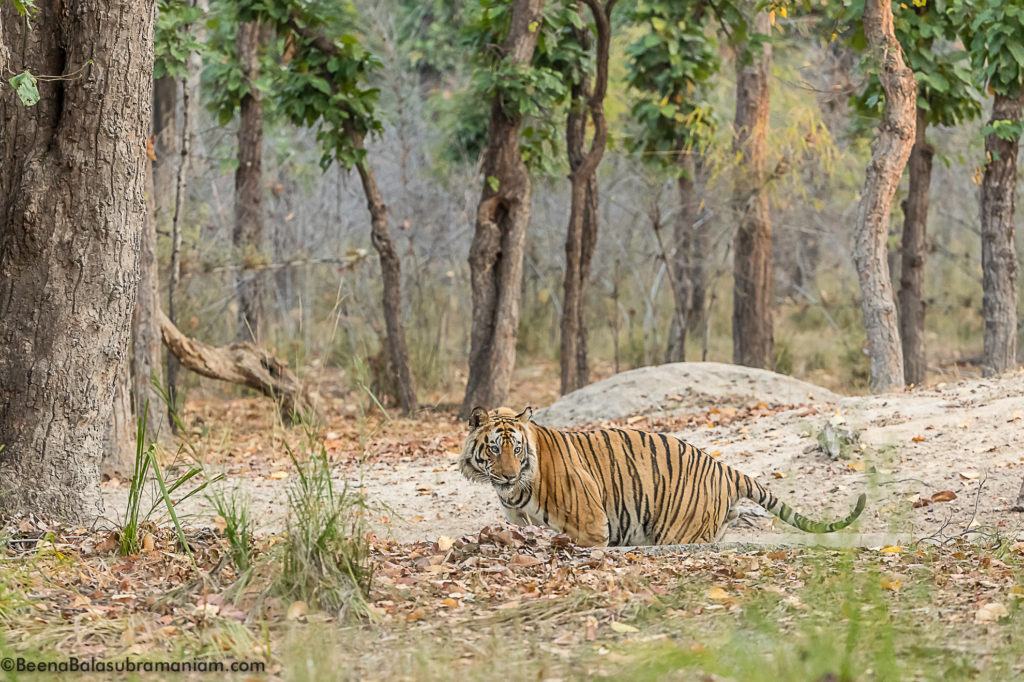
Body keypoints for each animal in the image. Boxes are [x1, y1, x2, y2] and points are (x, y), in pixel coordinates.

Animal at [460, 403, 868, 548]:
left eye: (516, 450)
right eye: (494, 450)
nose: (509, 476)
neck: (513, 492)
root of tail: (723, 466)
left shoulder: (590, 524)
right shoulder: (518, 518)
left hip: (676, 528)